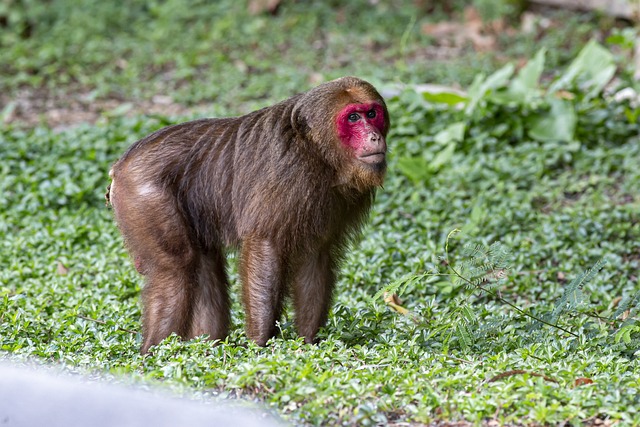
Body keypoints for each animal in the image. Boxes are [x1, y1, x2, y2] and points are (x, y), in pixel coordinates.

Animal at [107, 77, 388, 354]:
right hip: (142, 192)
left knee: (203, 262)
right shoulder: (289, 173)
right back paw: (153, 354)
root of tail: (121, 164)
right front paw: (259, 346)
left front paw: (309, 344)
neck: (318, 153)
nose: (374, 137)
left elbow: (315, 255)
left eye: (372, 114)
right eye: (353, 118)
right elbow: (265, 246)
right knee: (177, 267)